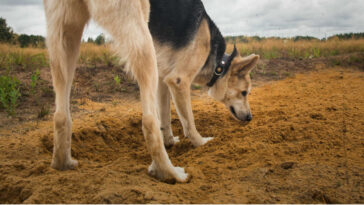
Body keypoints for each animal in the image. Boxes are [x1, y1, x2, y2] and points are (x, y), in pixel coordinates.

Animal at [43, 0, 258, 183]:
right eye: (245, 93)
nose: (250, 118)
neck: (219, 64)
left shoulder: (164, 81)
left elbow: (165, 116)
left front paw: (169, 141)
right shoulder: (179, 81)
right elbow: (188, 122)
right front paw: (201, 143)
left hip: (65, 37)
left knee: (61, 115)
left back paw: (63, 163)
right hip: (141, 38)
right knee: (148, 121)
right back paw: (167, 172)